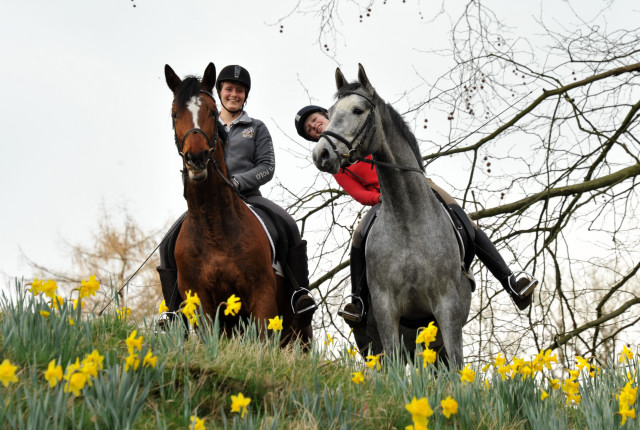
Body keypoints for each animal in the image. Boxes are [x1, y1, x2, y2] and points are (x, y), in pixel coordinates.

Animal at [165, 63, 312, 346]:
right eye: (175, 114)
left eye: (212, 112)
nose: (196, 158)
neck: (213, 226)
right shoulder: (202, 304)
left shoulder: (261, 297)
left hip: (298, 331)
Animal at [312, 64, 472, 366]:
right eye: (331, 110)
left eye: (358, 110)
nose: (321, 153)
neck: (407, 217)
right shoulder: (387, 309)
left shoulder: (447, 306)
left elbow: (458, 365)